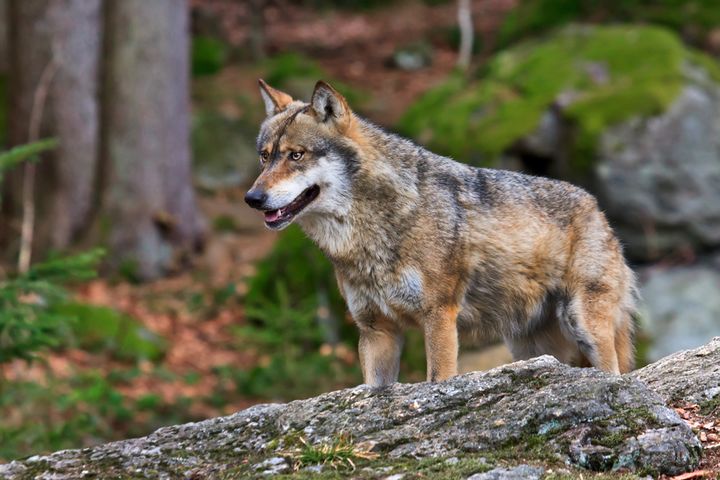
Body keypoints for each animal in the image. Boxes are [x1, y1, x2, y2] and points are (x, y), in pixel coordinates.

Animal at [243, 79, 636, 386]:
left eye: (296, 155)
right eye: (265, 156)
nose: (253, 198)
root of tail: (596, 207)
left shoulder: (439, 316)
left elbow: (438, 378)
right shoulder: (375, 330)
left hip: (584, 326)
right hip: (530, 348)